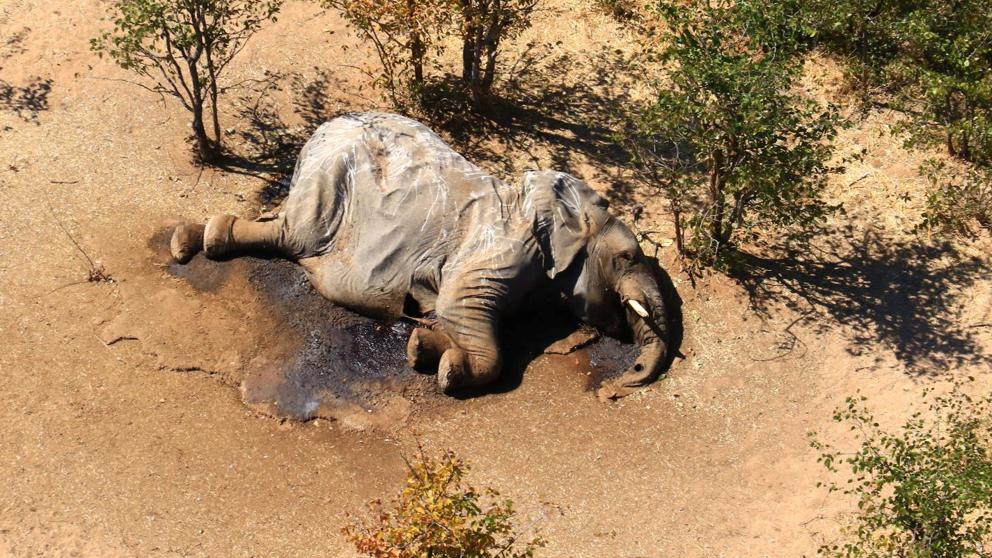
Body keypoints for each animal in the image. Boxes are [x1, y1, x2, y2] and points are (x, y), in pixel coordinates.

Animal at [170, 112, 673, 399]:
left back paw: (191, 240)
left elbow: (453, 315)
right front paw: (449, 371)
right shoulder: (502, 249)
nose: (617, 388)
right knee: (294, 236)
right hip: (328, 178)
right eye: (628, 257)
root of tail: (323, 127)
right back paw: (195, 242)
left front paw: (422, 348)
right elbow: (461, 309)